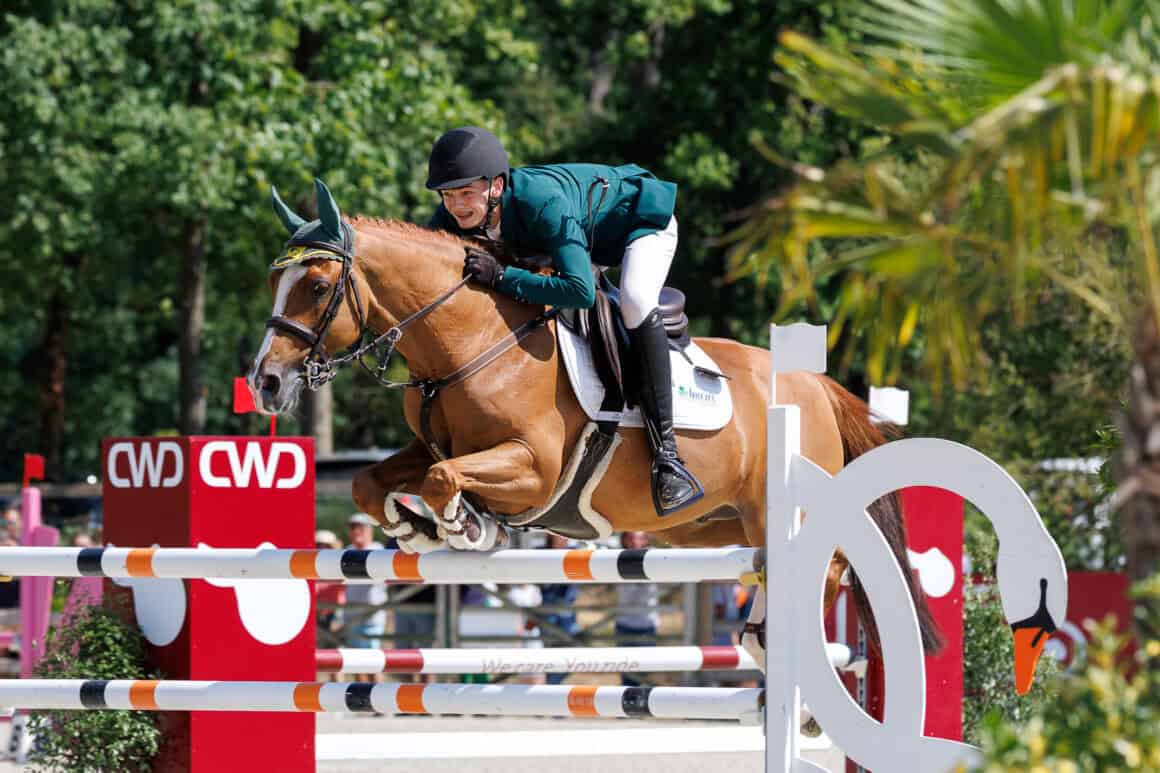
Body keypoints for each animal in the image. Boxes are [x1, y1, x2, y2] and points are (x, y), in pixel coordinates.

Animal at [247, 180, 942, 660]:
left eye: (316, 287)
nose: (266, 382)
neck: (471, 342)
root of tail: (814, 385)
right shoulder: (430, 447)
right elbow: (376, 481)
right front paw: (412, 529)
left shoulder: (533, 470)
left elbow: (446, 481)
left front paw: (466, 527)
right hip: (709, 527)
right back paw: (760, 638)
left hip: (782, 508)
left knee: (831, 565)